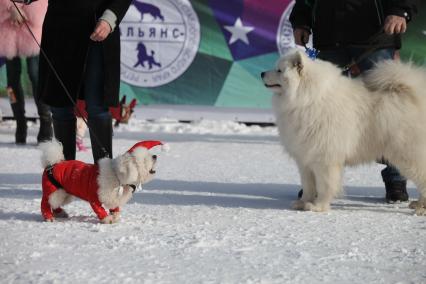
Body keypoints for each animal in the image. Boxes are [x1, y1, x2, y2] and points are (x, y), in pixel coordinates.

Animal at [262, 48, 426, 214]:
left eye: (279, 70)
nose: (262, 73)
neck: (307, 99)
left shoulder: (324, 159)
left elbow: (324, 186)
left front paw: (318, 206)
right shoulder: (305, 159)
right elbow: (308, 186)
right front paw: (303, 203)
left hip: (407, 154)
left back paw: (421, 208)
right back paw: (418, 204)